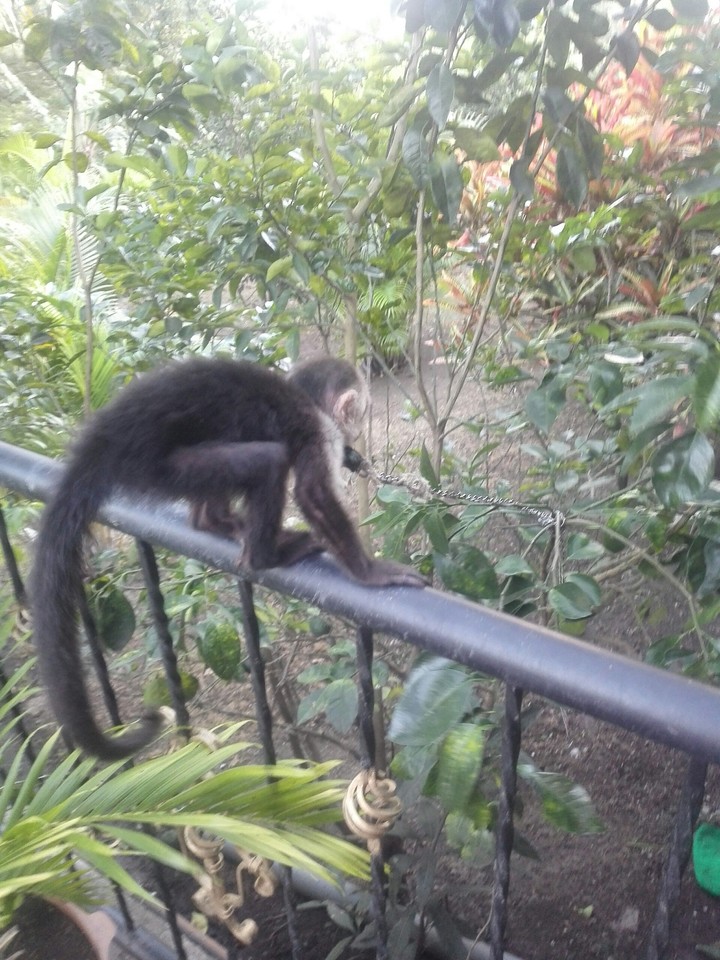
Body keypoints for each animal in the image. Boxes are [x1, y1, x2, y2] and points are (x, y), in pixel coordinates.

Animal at [31, 356, 425, 761]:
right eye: (358, 413)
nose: (356, 438)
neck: (308, 401)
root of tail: (105, 438)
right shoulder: (322, 430)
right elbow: (312, 493)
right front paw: (369, 571)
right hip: (159, 468)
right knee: (267, 461)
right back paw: (265, 554)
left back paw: (213, 522)